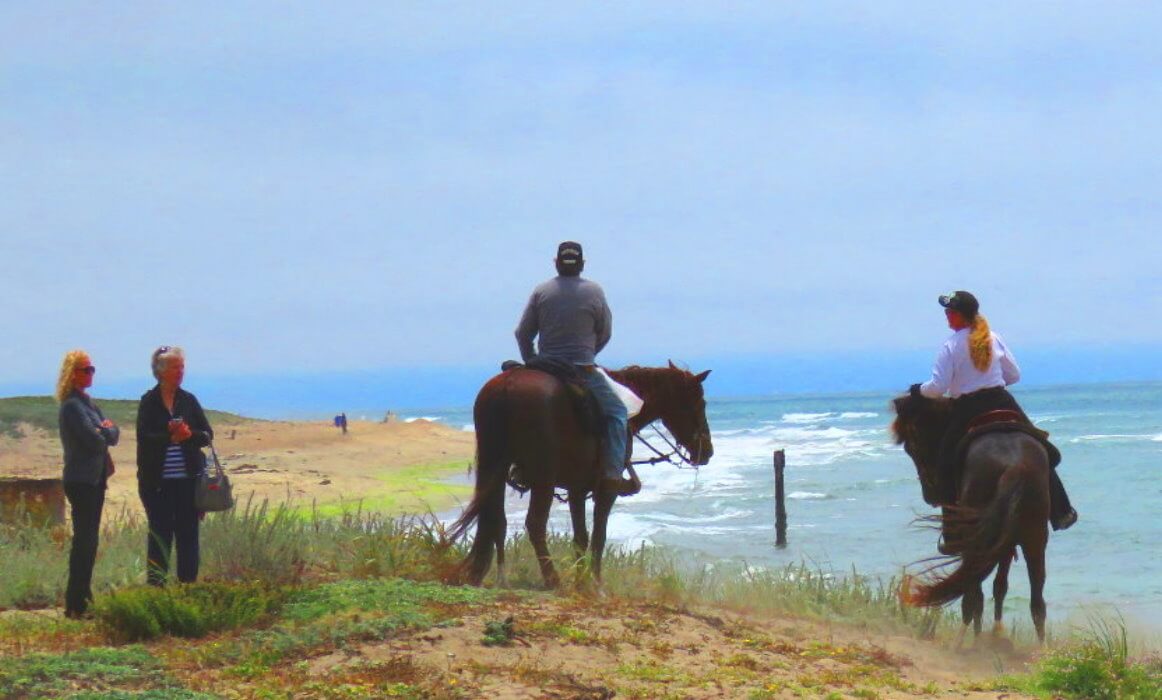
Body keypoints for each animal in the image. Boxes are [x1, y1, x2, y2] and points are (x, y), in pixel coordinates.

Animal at [448, 362, 711, 586]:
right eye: (700, 403)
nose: (707, 451)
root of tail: (508, 384)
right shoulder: (606, 489)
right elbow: (598, 536)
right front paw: (595, 583)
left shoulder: (577, 489)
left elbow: (580, 538)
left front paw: (581, 581)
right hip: (543, 477)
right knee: (534, 523)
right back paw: (552, 579)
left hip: (493, 467)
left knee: (494, 519)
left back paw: (488, 575)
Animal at [887, 390, 1055, 641]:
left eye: (911, 446)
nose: (930, 496)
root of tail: (1015, 466)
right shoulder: (1003, 541)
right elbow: (1000, 585)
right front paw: (996, 633)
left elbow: (981, 592)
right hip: (1034, 538)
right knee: (1037, 602)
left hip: (976, 538)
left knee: (971, 590)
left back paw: (962, 641)